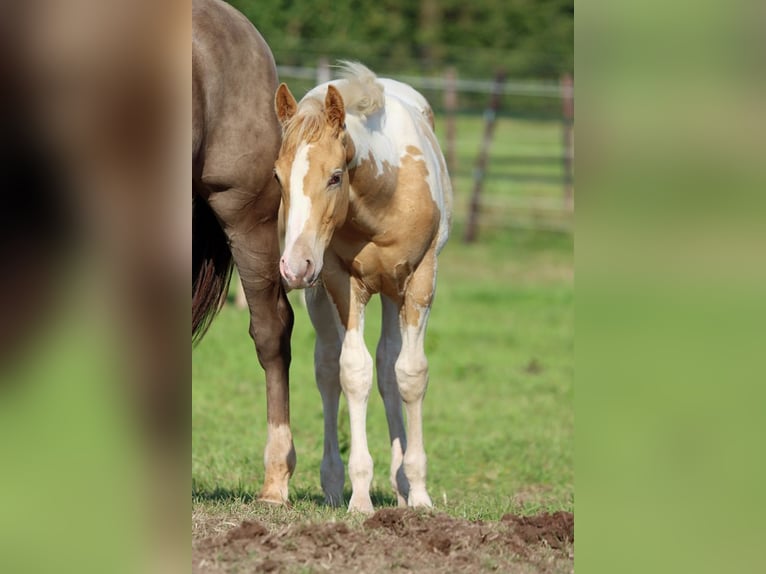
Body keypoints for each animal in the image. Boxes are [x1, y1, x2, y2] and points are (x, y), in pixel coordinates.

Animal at [274, 62, 452, 513]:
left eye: (335, 177)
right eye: (277, 177)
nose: (294, 266)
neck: (384, 199)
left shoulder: (421, 277)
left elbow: (409, 373)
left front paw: (418, 492)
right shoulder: (340, 280)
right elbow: (353, 372)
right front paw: (359, 498)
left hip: (390, 290)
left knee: (389, 365)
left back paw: (401, 485)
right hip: (319, 293)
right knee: (327, 369)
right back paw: (334, 484)